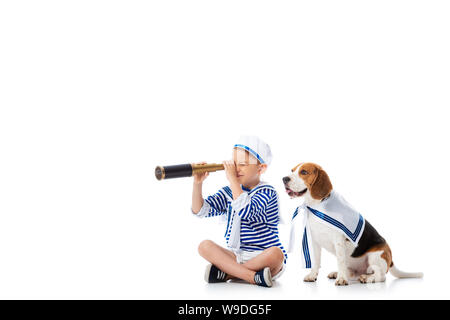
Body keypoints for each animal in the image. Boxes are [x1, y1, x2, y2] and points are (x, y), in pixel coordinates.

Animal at [284, 162, 424, 284]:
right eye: (292, 170)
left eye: (304, 172)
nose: (284, 179)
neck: (316, 206)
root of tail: (391, 260)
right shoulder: (315, 241)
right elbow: (316, 262)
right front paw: (313, 275)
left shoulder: (338, 241)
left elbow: (340, 261)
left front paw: (341, 279)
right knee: (354, 273)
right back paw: (341, 274)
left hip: (375, 256)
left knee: (381, 275)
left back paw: (367, 278)